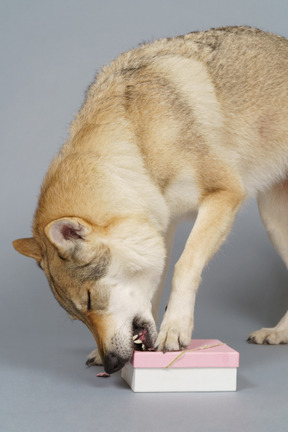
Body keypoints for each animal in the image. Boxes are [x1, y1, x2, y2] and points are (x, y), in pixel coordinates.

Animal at [12, 26, 288, 374]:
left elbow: (185, 266)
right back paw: (279, 333)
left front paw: (175, 328)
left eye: (89, 299)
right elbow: (154, 288)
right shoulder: (160, 224)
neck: (136, 142)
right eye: (78, 316)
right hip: (273, 222)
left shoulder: (224, 195)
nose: (111, 365)